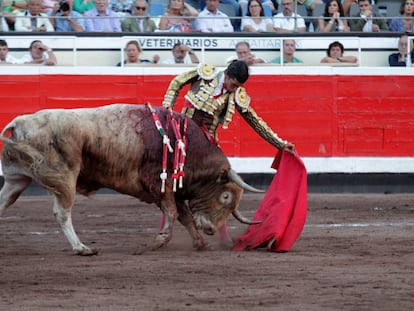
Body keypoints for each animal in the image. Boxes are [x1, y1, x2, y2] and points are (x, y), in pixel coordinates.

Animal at [0, 105, 258, 256]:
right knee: (62, 213)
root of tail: (21, 123)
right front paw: (159, 242)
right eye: (225, 196)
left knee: (4, 202)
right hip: (65, 180)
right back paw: (81, 248)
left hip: (16, 178)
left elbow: (184, 216)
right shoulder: (160, 185)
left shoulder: (169, 191)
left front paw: (200, 243)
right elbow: (173, 212)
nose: (212, 229)